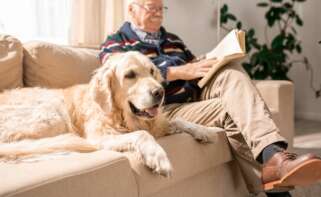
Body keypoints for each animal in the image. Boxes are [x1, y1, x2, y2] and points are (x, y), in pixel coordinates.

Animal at [0, 51, 224, 176]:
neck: (122, 116)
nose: (159, 93)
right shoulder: (101, 137)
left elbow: (177, 119)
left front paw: (205, 131)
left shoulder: (157, 123)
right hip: (51, 112)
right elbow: (143, 134)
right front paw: (157, 156)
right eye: (130, 75)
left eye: (152, 71)